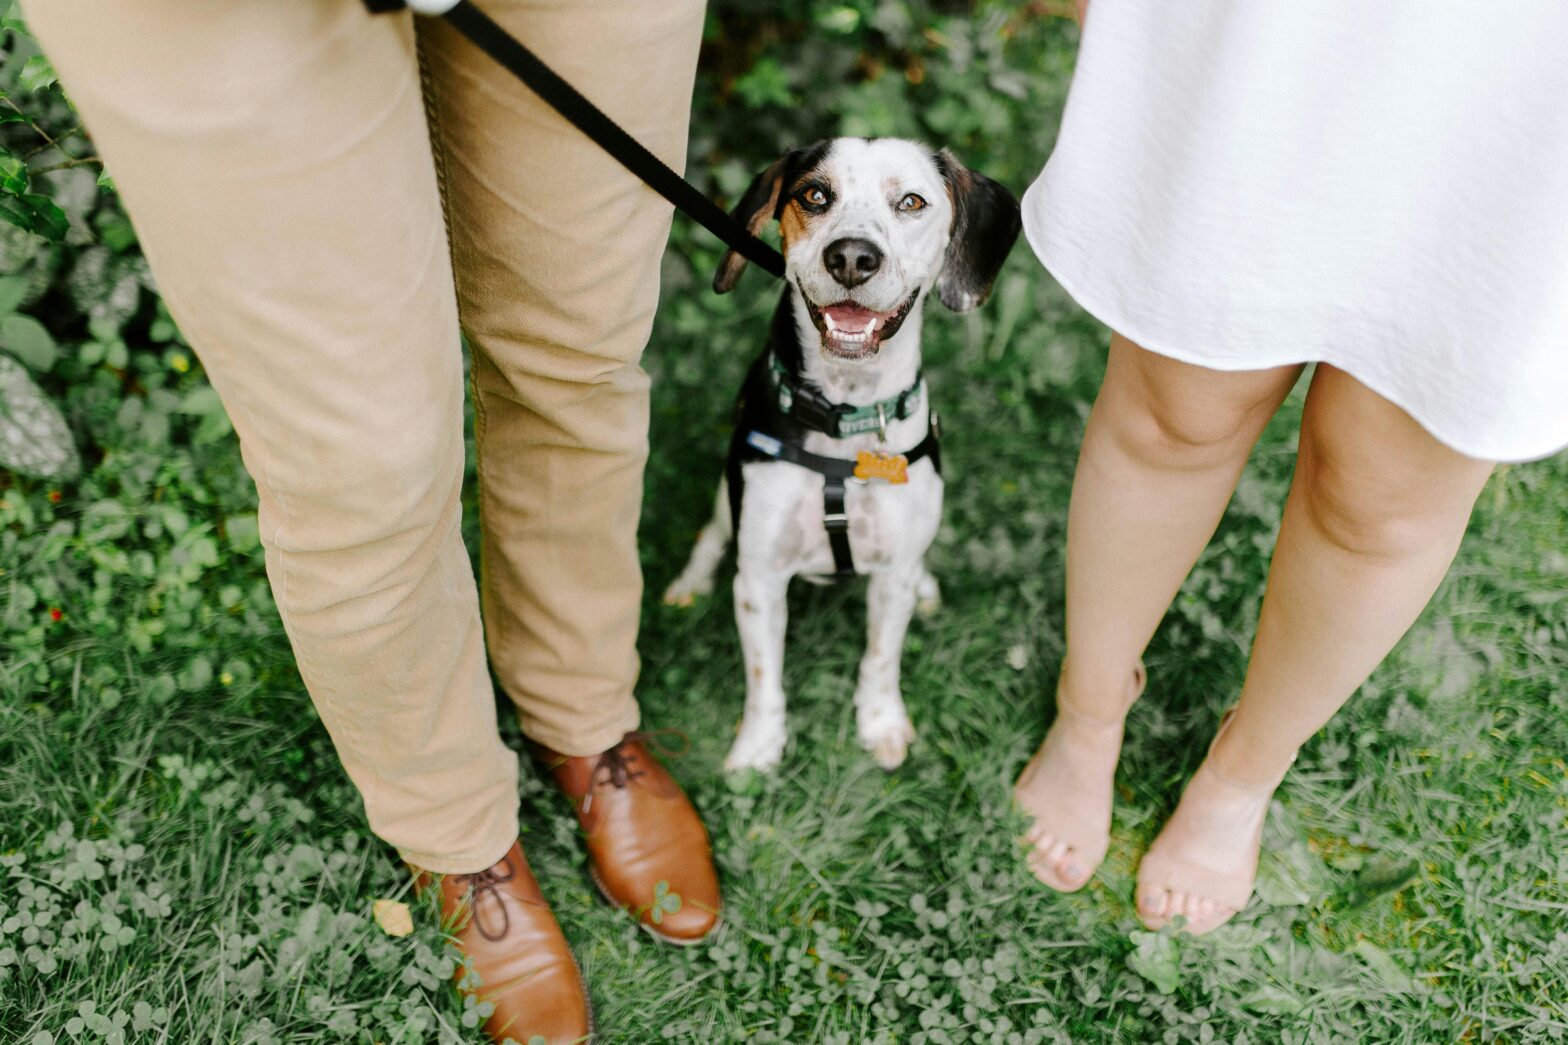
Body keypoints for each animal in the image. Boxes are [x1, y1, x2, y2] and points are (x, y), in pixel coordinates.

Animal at [664, 138, 1022, 768]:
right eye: (814, 195)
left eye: (911, 201)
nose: (852, 257)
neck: (842, 410)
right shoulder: (759, 579)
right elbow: (764, 678)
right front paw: (758, 751)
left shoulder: (892, 574)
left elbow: (880, 659)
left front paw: (880, 725)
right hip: (728, 503)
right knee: (711, 533)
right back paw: (688, 584)